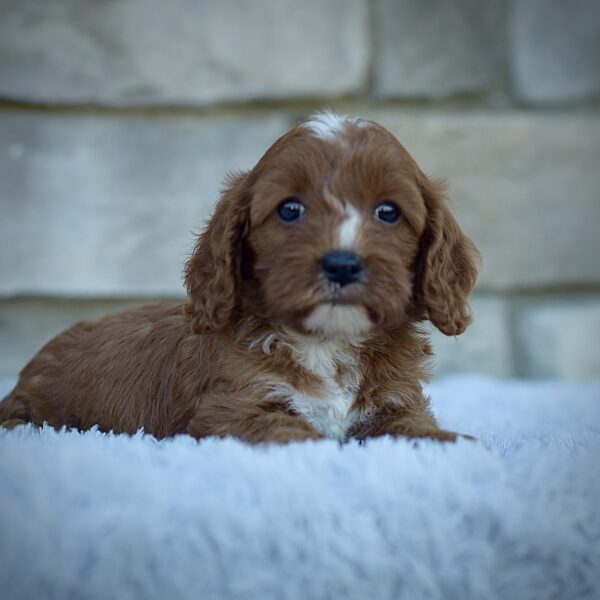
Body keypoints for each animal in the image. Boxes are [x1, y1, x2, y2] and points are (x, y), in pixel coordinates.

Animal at [0, 113, 478, 440]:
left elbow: (416, 430)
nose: (342, 264)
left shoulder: (396, 403)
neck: (327, 342)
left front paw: (453, 442)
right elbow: (294, 434)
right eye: (290, 209)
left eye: (388, 212)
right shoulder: (231, 408)